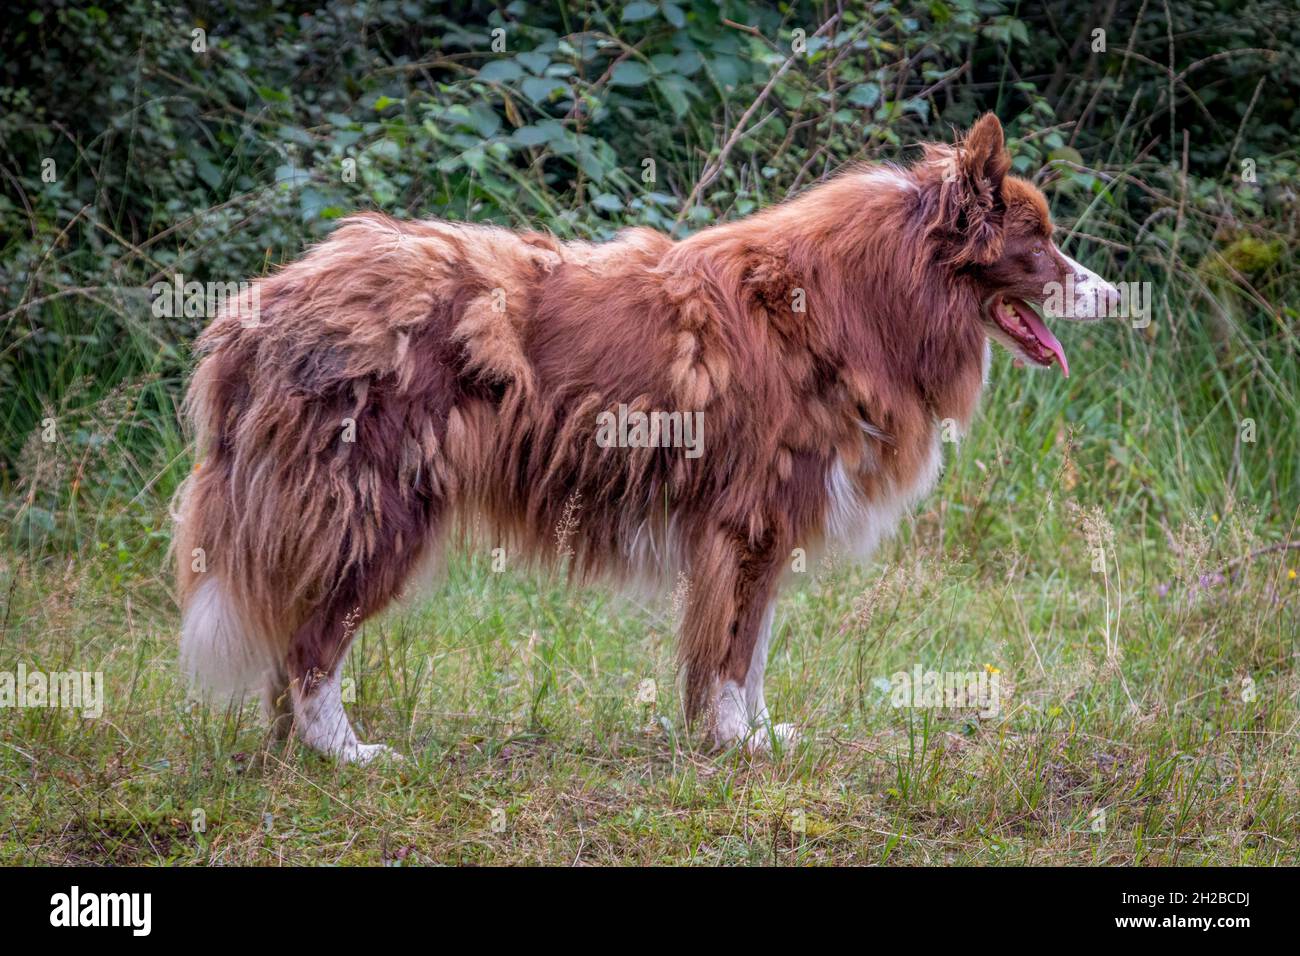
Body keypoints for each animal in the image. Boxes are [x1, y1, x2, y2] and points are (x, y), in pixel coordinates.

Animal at [178, 113, 1123, 764]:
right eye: (1040, 243)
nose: (1118, 295)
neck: (868, 297)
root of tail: (260, 304)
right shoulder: (750, 520)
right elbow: (732, 650)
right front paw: (736, 742)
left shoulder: (764, 526)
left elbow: (754, 649)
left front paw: (756, 734)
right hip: (379, 512)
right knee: (309, 649)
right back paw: (347, 753)